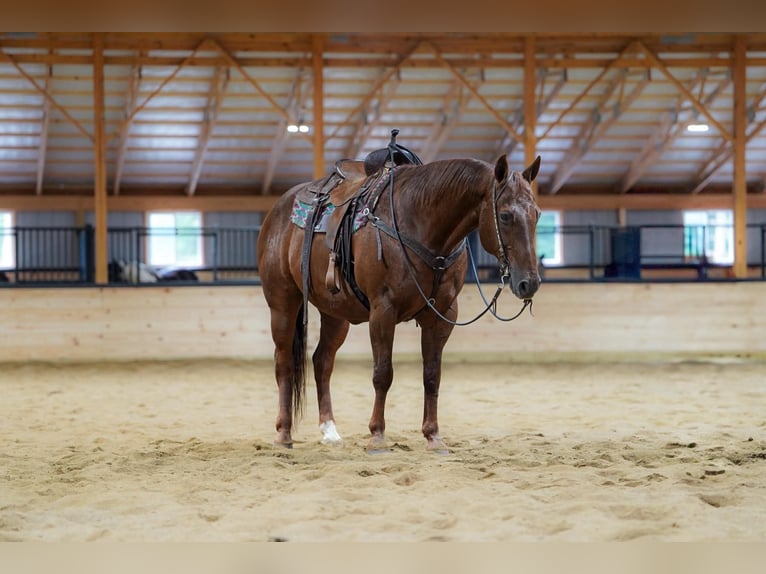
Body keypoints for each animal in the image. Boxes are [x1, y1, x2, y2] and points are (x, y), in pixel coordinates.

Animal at [257, 150, 542, 452]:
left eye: (537, 214)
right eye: (506, 215)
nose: (529, 283)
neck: (420, 223)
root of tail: (277, 212)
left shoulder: (443, 314)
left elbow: (432, 375)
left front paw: (433, 436)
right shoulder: (383, 310)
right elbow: (383, 373)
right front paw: (377, 436)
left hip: (335, 313)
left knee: (322, 361)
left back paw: (330, 431)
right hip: (282, 304)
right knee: (284, 362)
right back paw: (283, 434)